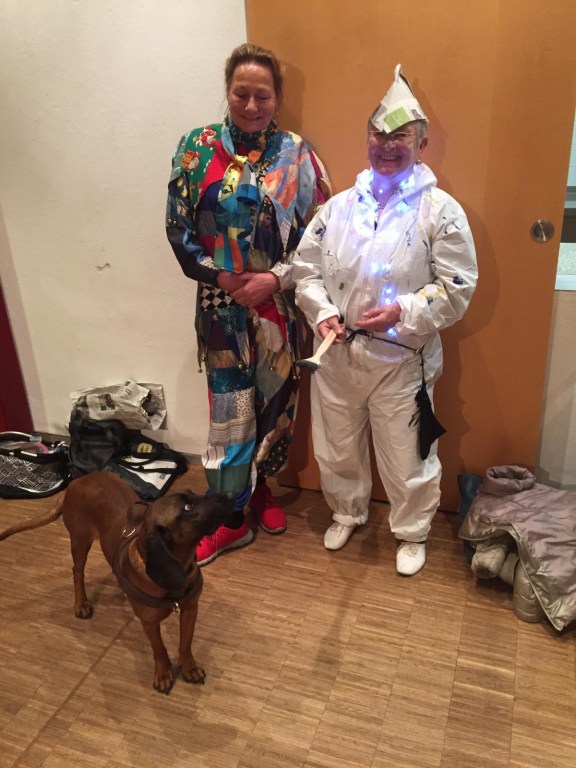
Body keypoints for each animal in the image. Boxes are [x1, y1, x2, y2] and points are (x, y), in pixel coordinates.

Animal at [0, 471, 235, 694]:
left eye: (193, 494)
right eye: (187, 507)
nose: (232, 495)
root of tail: (75, 482)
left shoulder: (190, 609)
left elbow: (185, 643)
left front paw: (189, 668)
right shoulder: (149, 622)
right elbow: (159, 648)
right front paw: (163, 673)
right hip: (79, 541)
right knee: (77, 572)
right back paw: (81, 604)